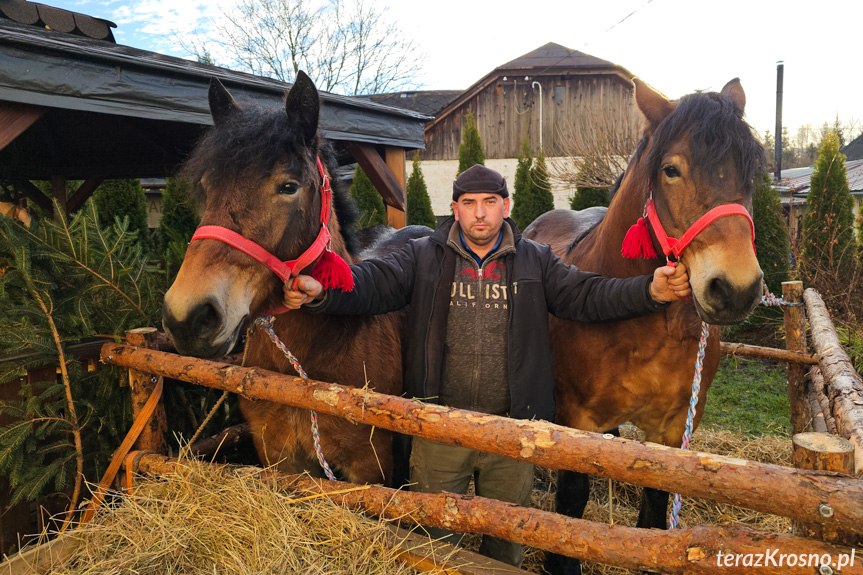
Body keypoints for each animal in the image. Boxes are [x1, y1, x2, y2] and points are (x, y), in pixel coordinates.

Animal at [524, 77, 768, 575]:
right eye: (671, 170)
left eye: (752, 169)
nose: (736, 289)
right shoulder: (577, 420)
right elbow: (571, 503)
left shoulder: (672, 429)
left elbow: (655, 507)